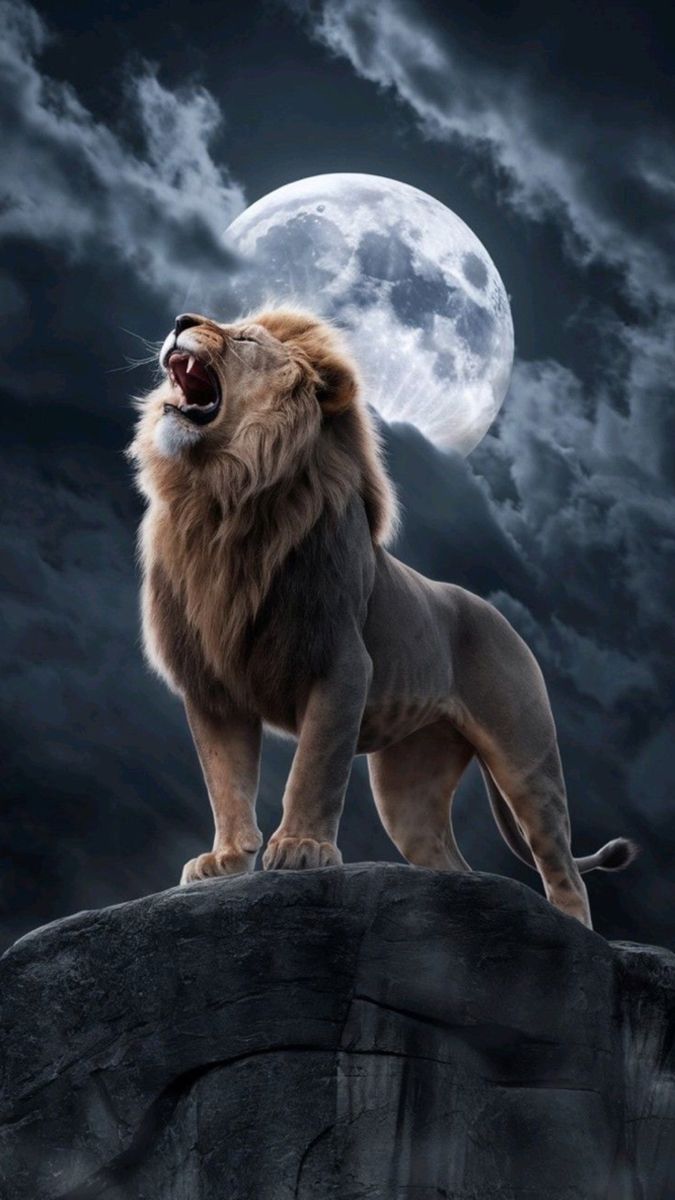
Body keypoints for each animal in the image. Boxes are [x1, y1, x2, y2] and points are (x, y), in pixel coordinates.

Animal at [127, 307, 636, 928]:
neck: (222, 497)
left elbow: (315, 768)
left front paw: (302, 848)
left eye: (243, 337)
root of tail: (500, 617)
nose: (181, 319)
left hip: (527, 757)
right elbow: (225, 783)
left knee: (562, 868)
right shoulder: (210, 685)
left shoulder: (342, 665)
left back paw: (570, 933)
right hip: (409, 785)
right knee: (452, 863)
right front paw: (224, 861)